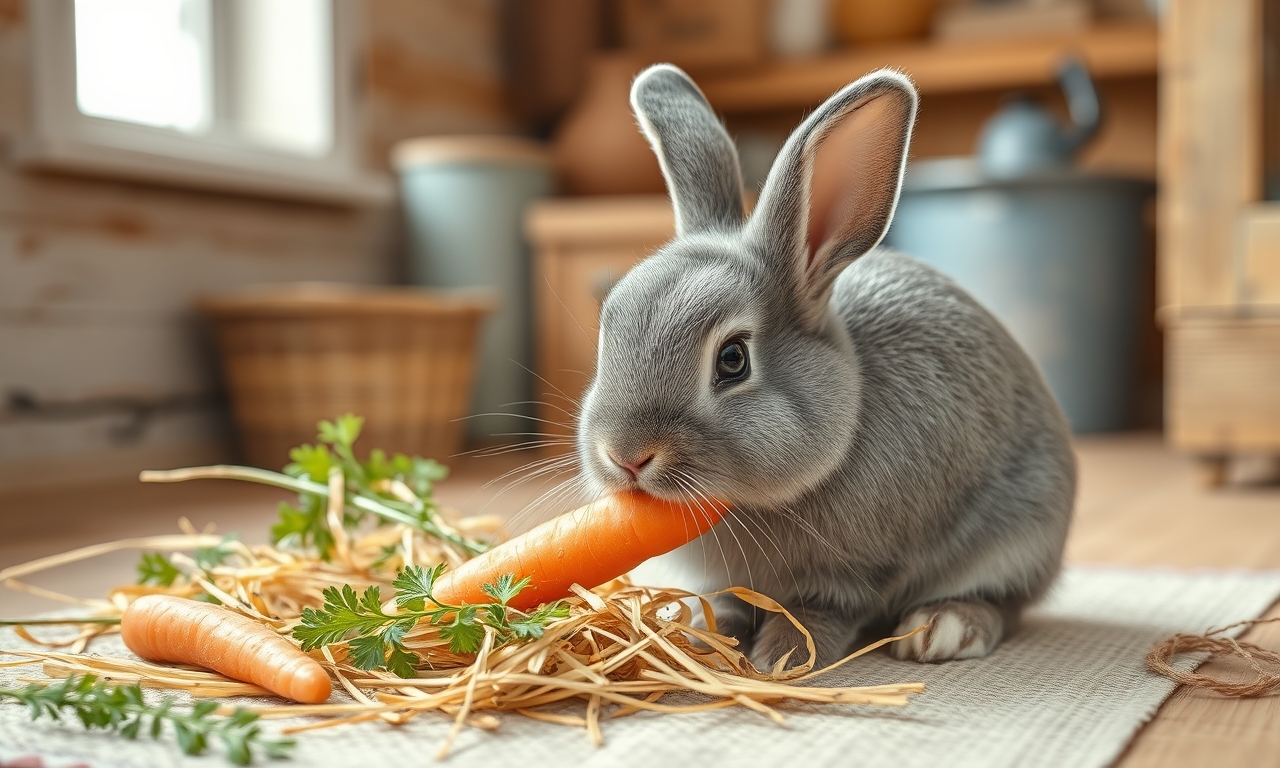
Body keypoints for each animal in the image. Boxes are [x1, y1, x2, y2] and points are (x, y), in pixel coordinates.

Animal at [574, 63, 1076, 670]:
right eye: (609, 325)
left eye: (733, 360)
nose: (625, 455)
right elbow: (729, 603)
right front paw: (699, 631)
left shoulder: (856, 570)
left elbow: (821, 608)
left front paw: (782, 656)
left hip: (1021, 531)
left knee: (1005, 601)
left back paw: (942, 629)